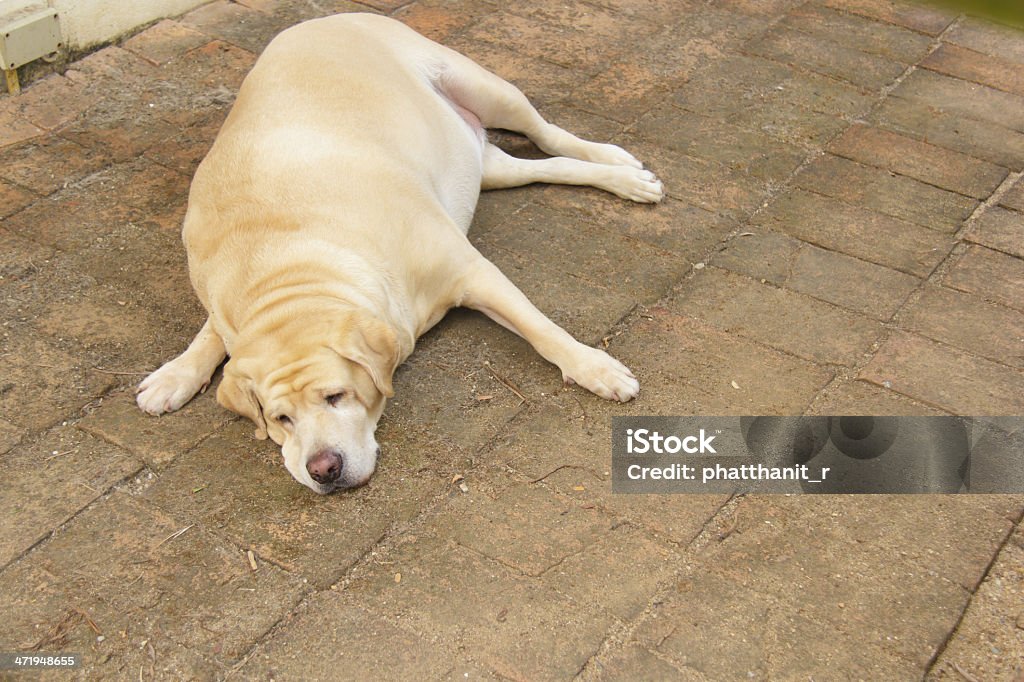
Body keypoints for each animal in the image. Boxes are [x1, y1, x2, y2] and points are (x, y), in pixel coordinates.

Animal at [136, 13, 663, 491]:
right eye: (280, 418)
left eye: (336, 396)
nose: (322, 470)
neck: (286, 266)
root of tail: (319, 17)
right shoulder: (230, 305)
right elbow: (211, 335)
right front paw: (175, 374)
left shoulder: (472, 271)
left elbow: (542, 329)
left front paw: (595, 368)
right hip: (484, 167)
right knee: (544, 166)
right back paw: (618, 177)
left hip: (485, 87)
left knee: (547, 131)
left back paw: (619, 164)